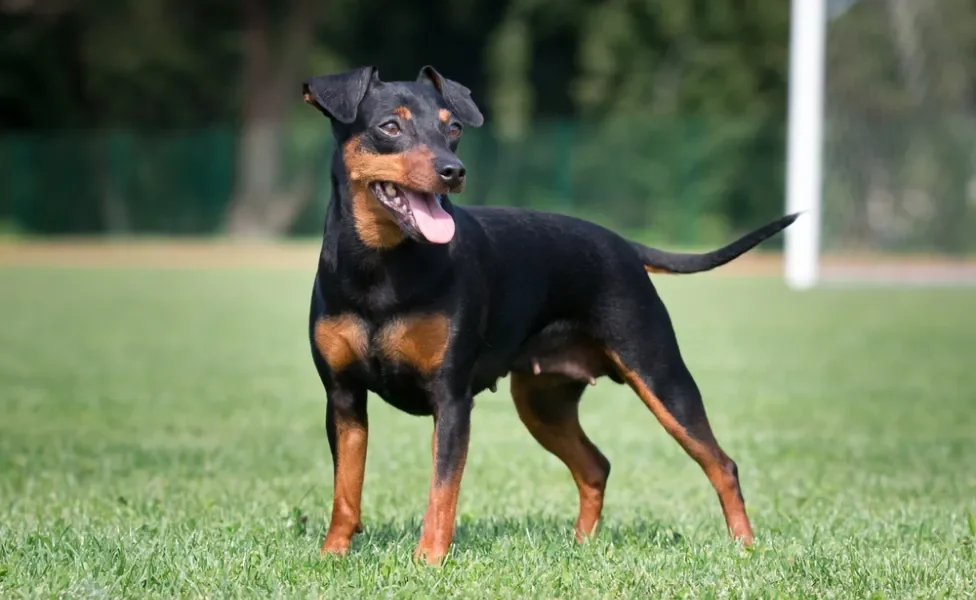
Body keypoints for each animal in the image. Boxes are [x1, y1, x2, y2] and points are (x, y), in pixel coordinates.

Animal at [304, 67, 800, 568]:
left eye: (454, 128)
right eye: (390, 127)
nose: (453, 171)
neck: (380, 269)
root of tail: (622, 244)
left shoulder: (451, 399)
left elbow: (441, 492)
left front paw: (428, 561)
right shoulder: (343, 398)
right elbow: (346, 489)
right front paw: (332, 555)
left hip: (661, 377)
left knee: (721, 464)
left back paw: (745, 546)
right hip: (543, 402)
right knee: (596, 465)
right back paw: (582, 546)